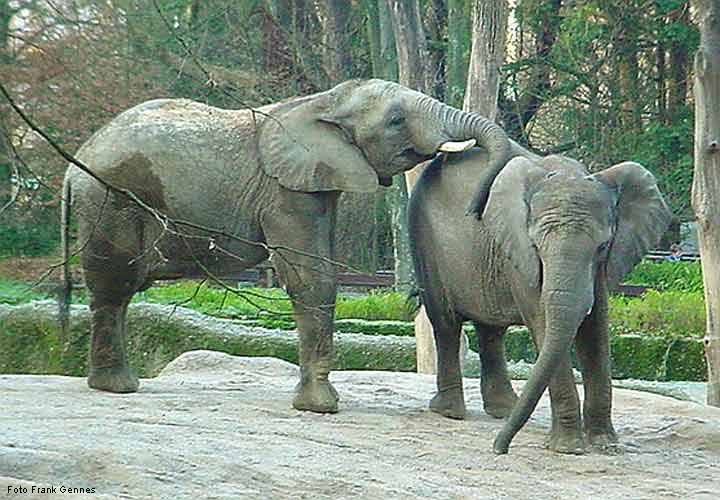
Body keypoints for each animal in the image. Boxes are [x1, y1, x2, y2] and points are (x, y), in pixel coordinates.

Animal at [62, 78, 512, 414]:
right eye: (397, 120)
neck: (323, 101)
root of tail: (76, 161)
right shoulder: (285, 191)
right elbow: (312, 277)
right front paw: (321, 407)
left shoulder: (319, 182)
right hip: (111, 200)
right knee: (114, 286)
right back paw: (117, 387)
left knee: (115, 291)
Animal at [408, 151, 672, 454]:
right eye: (536, 246)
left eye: (603, 247)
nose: (499, 449)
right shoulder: (519, 253)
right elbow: (543, 323)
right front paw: (568, 448)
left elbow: (595, 329)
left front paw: (606, 445)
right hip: (426, 243)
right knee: (446, 324)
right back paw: (450, 411)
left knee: (490, 330)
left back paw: (503, 411)